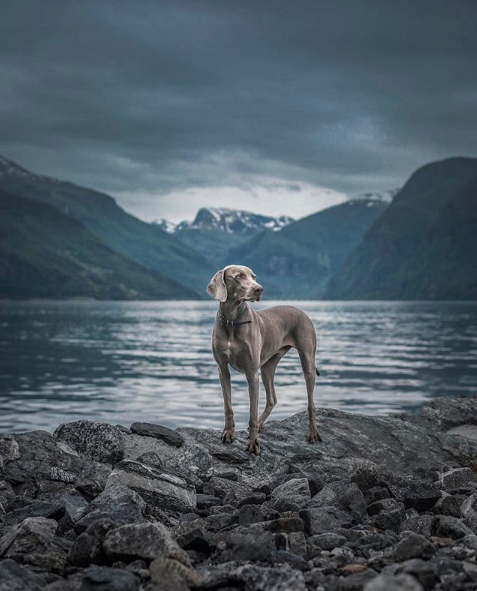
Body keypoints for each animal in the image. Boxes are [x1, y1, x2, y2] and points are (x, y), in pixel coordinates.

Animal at [205, 266, 320, 456]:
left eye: (254, 276)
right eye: (238, 276)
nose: (259, 289)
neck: (232, 321)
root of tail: (301, 311)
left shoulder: (252, 373)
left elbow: (251, 413)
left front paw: (253, 444)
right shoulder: (222, 369)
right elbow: (228, 406)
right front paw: (228, 433)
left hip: (307, 361)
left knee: (311, 404)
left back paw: (312, 434)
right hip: (267, 367)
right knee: (272, 398)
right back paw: (260, 423)